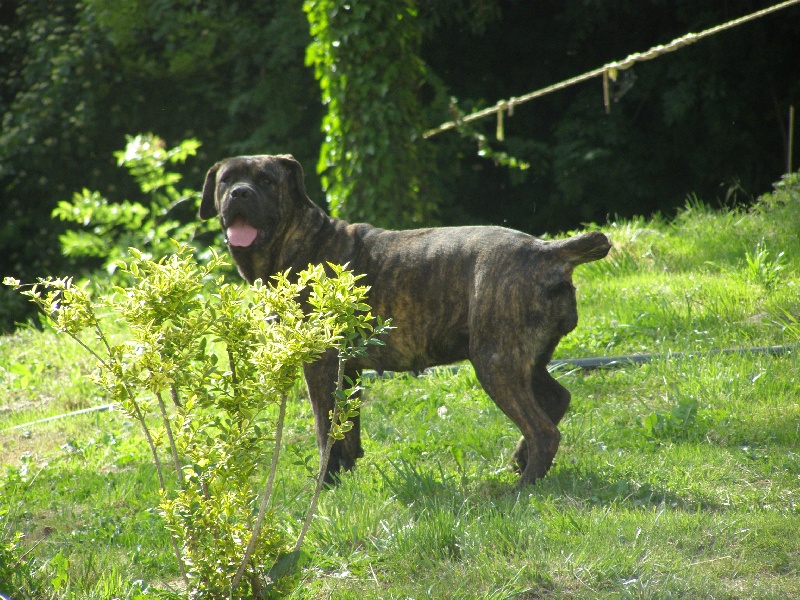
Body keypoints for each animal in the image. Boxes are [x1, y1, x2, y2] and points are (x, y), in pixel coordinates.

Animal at [202, 154, 612, 482]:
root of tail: (547, 250)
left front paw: (324, 483)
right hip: (527, 360)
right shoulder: (347, 368)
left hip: (496, 360)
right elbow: (347, 431)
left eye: (267, 181)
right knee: (556, 399)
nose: (240, 193)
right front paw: (344, 482)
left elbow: (325, 430)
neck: (298, 242)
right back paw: (518, 464)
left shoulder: (321, 365)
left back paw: (522, 486)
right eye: (226, 180)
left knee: (544, 430)